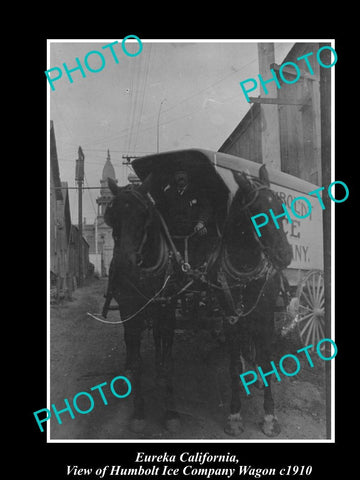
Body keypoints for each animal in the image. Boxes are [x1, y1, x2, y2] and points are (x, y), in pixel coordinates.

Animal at [103, 166, 292, 438]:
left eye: (279, 207)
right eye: (113, 215)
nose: (284, 255)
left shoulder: (263, 316)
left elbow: (266, 362)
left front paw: (269, 416)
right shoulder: (138, 313)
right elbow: (231, 366)